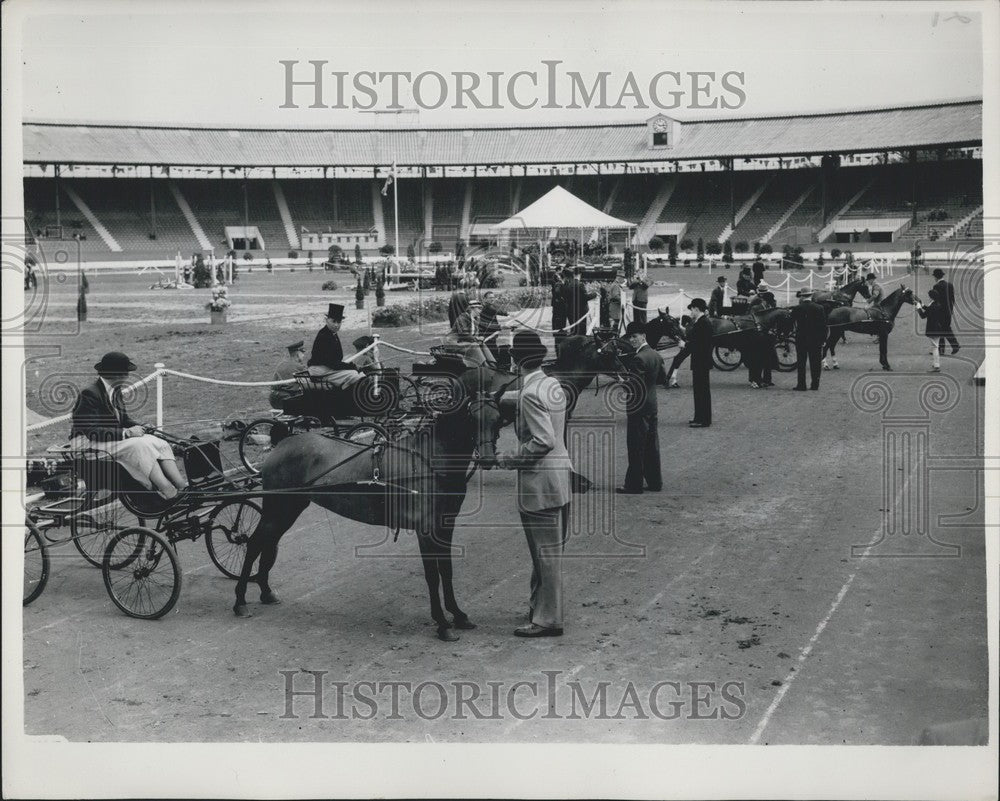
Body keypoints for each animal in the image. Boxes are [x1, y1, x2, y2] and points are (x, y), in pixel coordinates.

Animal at [234, 366, 512, 640]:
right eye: (472, 418)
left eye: (498, 419)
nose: (488, 459)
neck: (428, 461)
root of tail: (283, 442)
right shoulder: (425, 529)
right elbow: (432, 575)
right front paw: (442, 623)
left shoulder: (444, 525)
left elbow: (446, 569)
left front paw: (458, 614)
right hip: (277, 508)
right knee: (255, 543)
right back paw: (240, 601)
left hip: (289, 508)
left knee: (268, 543)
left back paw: (265, 591)